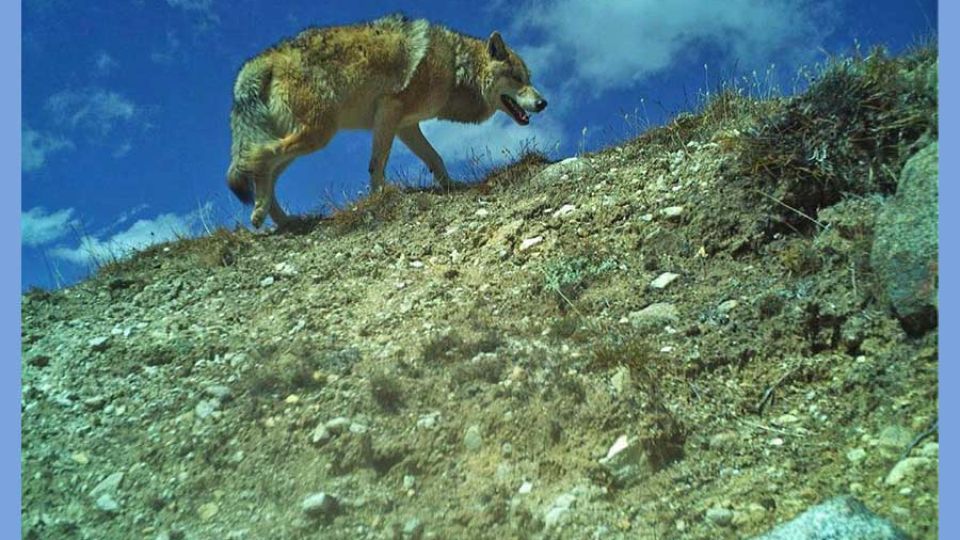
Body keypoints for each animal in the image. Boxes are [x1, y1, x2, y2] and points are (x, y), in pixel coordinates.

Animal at [226, 14, 548, 228]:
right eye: (517, 79)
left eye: (528, 79)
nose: (543, 103)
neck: (455, 68)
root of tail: (261, 61)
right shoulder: (389, 110)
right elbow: (378, 162)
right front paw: (379, 198)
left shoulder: (406, 126)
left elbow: (435, 159)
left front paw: (450, 186)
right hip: (318, 135)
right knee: (258, 158)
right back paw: (261, 214)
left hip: (305, 140)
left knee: (265, 170)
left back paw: (284, 221)